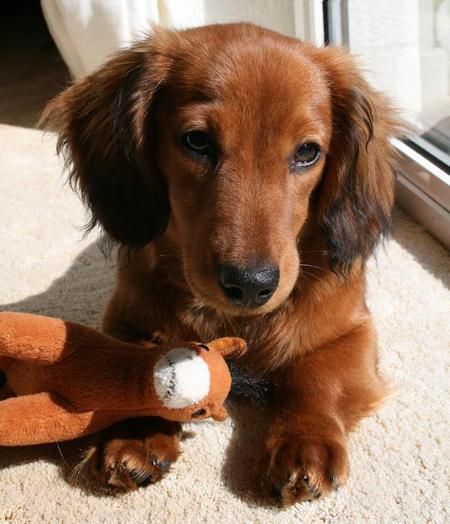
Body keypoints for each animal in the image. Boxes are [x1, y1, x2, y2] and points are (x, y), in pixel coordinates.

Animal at [41, 23, 400, 504]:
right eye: (197, 141)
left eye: (308, 152)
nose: (251, 284)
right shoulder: (123, 320)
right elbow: (135, 371)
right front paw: (137, 432)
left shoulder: (353, 331)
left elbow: (317, 378)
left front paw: (305, 442)